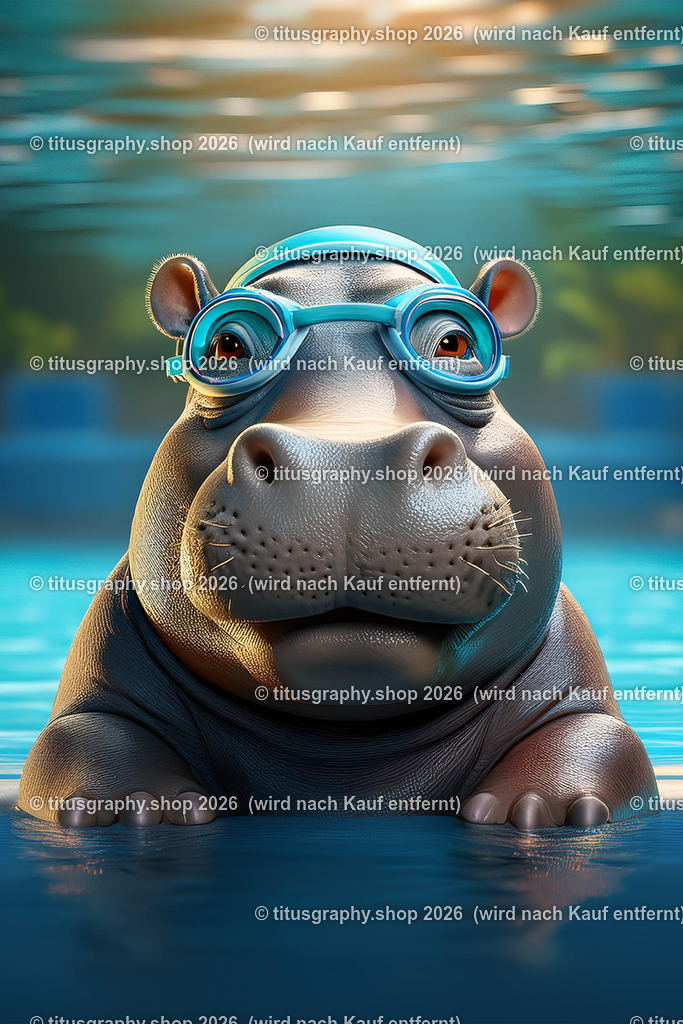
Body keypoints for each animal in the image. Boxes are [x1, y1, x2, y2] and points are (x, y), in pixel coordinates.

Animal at [19, 226, 656, 829]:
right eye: (227, 344)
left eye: (456, 342)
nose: (343, 462)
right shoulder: (103, 681)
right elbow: (82, 740)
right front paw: (137, 806)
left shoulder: (574, 688)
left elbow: (597, 740)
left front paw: (545, 807)